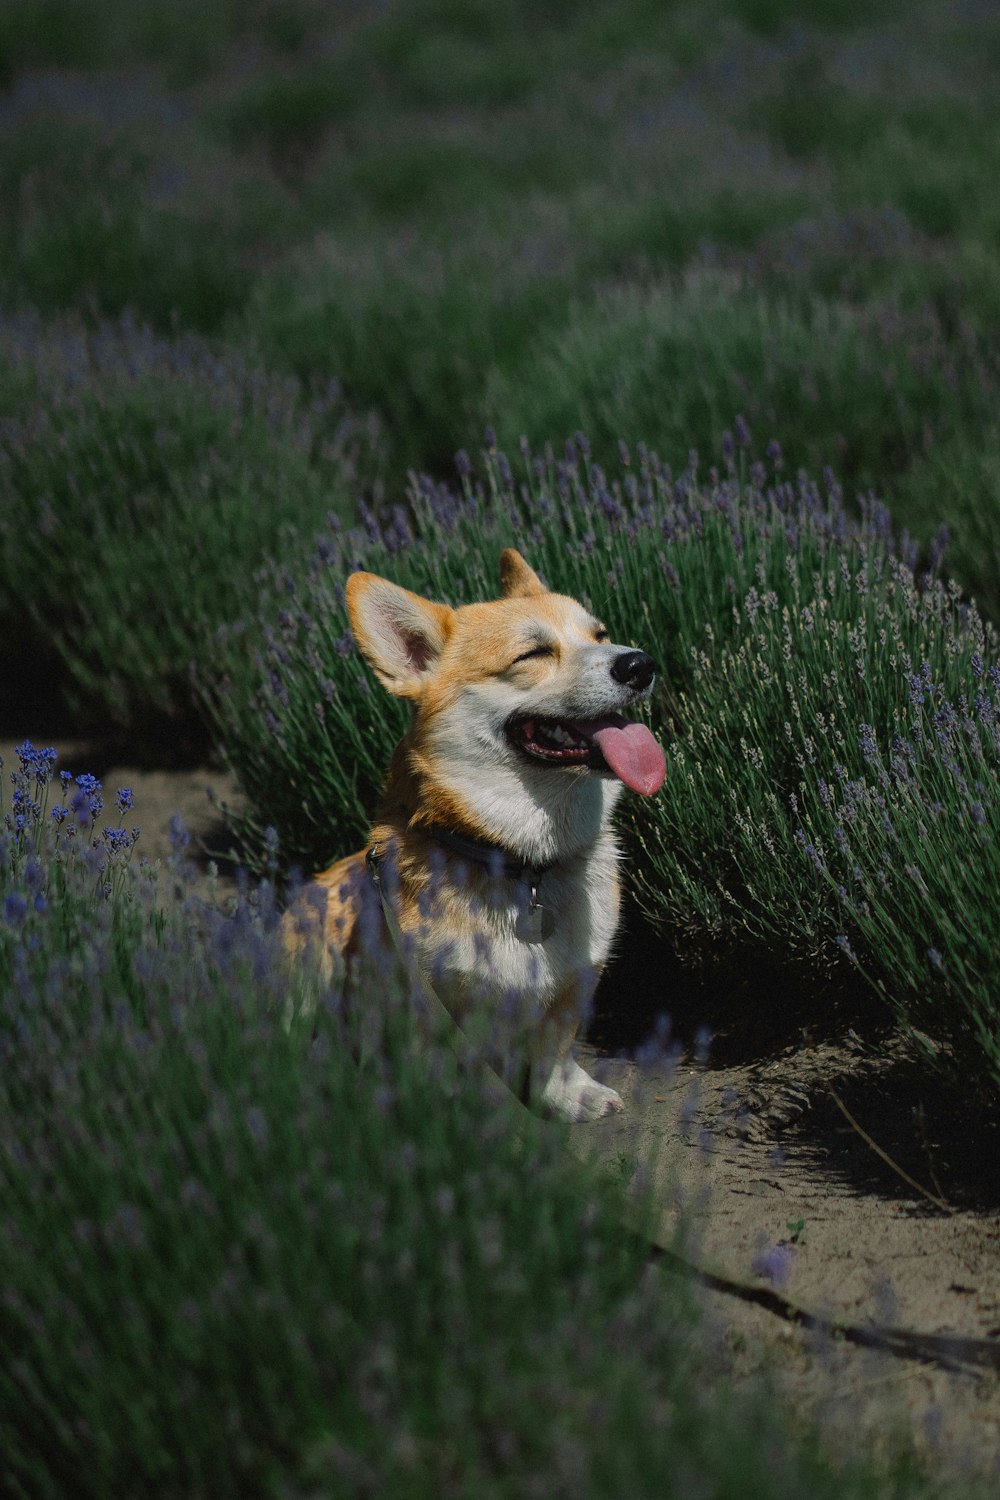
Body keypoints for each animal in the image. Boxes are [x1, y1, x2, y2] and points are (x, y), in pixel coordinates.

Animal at [284, 546, 668, 1122]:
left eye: (600, 635)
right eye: (532, 653)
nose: (639, 663)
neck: (518, 860)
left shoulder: (576, 981)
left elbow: (555, 1050)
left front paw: (566, 1096)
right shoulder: (424, 998)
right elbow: (440, 1065)